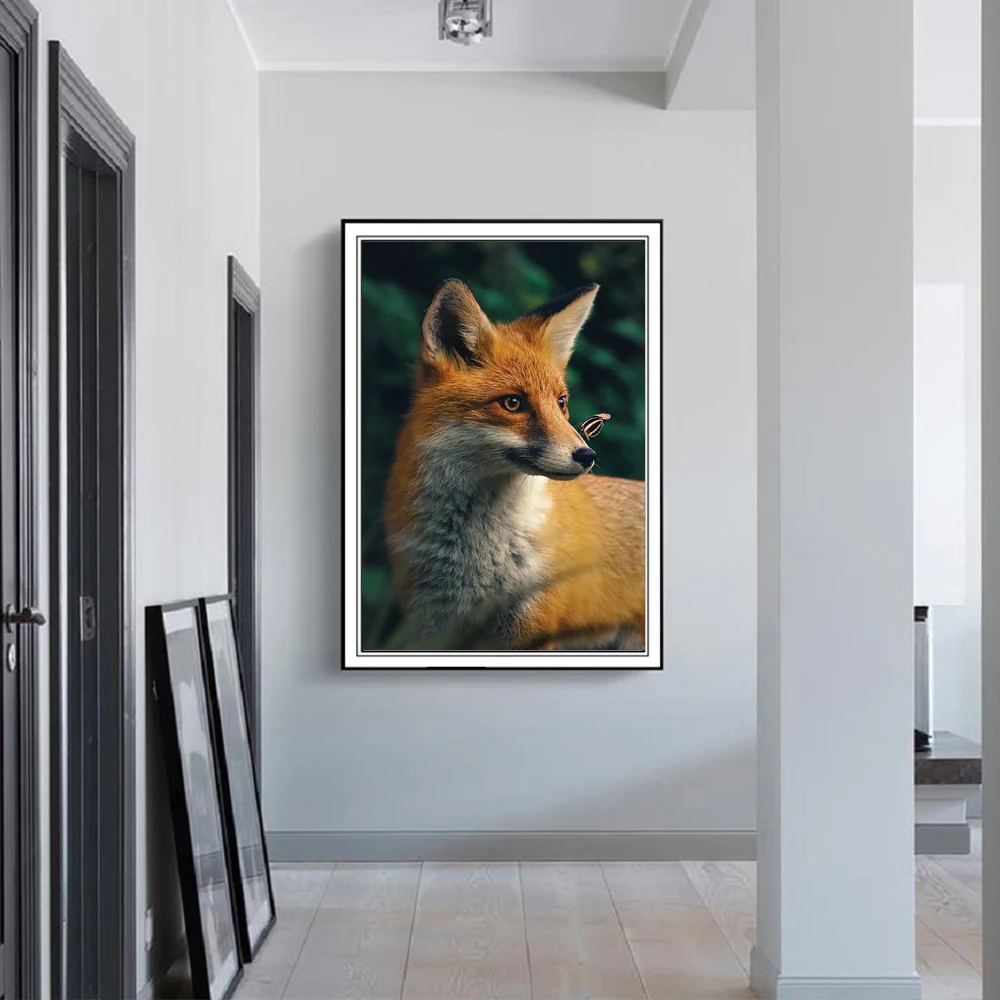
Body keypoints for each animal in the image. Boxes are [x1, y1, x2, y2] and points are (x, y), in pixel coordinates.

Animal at [383, 279, 646, 651]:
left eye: (561, 402)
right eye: (512, 403)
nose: (587, 456)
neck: (476, 556)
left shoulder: (531, 629)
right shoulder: (433, 626)